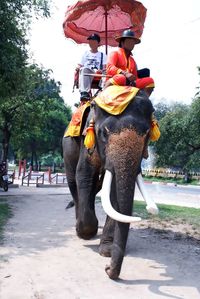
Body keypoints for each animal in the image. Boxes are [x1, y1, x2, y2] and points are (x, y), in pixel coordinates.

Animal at [63, 88, 157, 280]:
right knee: (73, 181)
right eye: (103, 134)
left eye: (146, 134)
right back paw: (78, 227)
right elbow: (84, 175)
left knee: (95, 188)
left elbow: (114, 190)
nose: (107, 269)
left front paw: (106, 251)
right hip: (67, 146)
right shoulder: (87, 141)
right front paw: (86, 234)